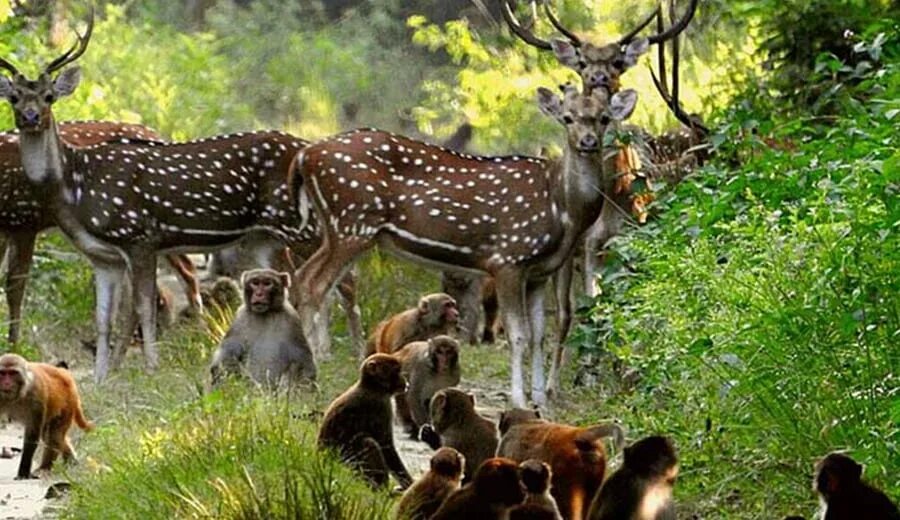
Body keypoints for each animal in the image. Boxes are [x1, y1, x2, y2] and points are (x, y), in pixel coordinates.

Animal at [0, 9, 342, 382]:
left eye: (49, 96)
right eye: (14, 97)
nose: (30, 117)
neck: (77, 189)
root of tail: (307, 149)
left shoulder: (139, 236)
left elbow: (143, 307)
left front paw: (151, 367)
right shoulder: (103, 257)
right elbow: (103, 318)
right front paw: (101, 377)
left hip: (300, 223)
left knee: (335, 278)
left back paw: (325, 353)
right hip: (265, 238)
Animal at [296, 84, 640, 406]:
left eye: (603, 118)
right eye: (567, 117)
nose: (588, 141)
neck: (561, 209)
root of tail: (304, 157)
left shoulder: (539, 273)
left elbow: (540, 335)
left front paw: (541, 399)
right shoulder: (508, 258)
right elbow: (519, 335)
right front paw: (519, 399)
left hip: (336, 230)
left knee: (302, 277)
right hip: (352, 224)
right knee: (314, 286)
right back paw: (312, 374)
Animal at [318, 352, 414, 490]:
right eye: (396, 371)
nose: (404, 380)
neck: (372, 387)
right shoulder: (381, 406)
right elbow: (386, 446)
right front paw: (409, 485)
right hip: (346, 466)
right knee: (367, 442)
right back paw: (380, 488)